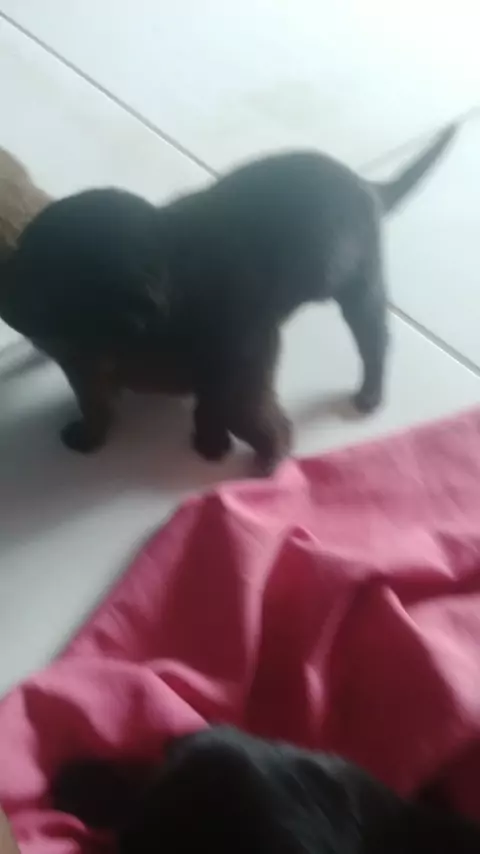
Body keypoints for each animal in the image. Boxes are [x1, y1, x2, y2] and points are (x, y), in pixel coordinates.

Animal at [0, 121, 460, 472]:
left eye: (47, 286)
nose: (9, 306)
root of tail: (366, 183)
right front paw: (211, 439)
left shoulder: (235, 360)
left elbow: (240, 410)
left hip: (359, 285)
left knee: (374, 339)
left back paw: (368, 394)